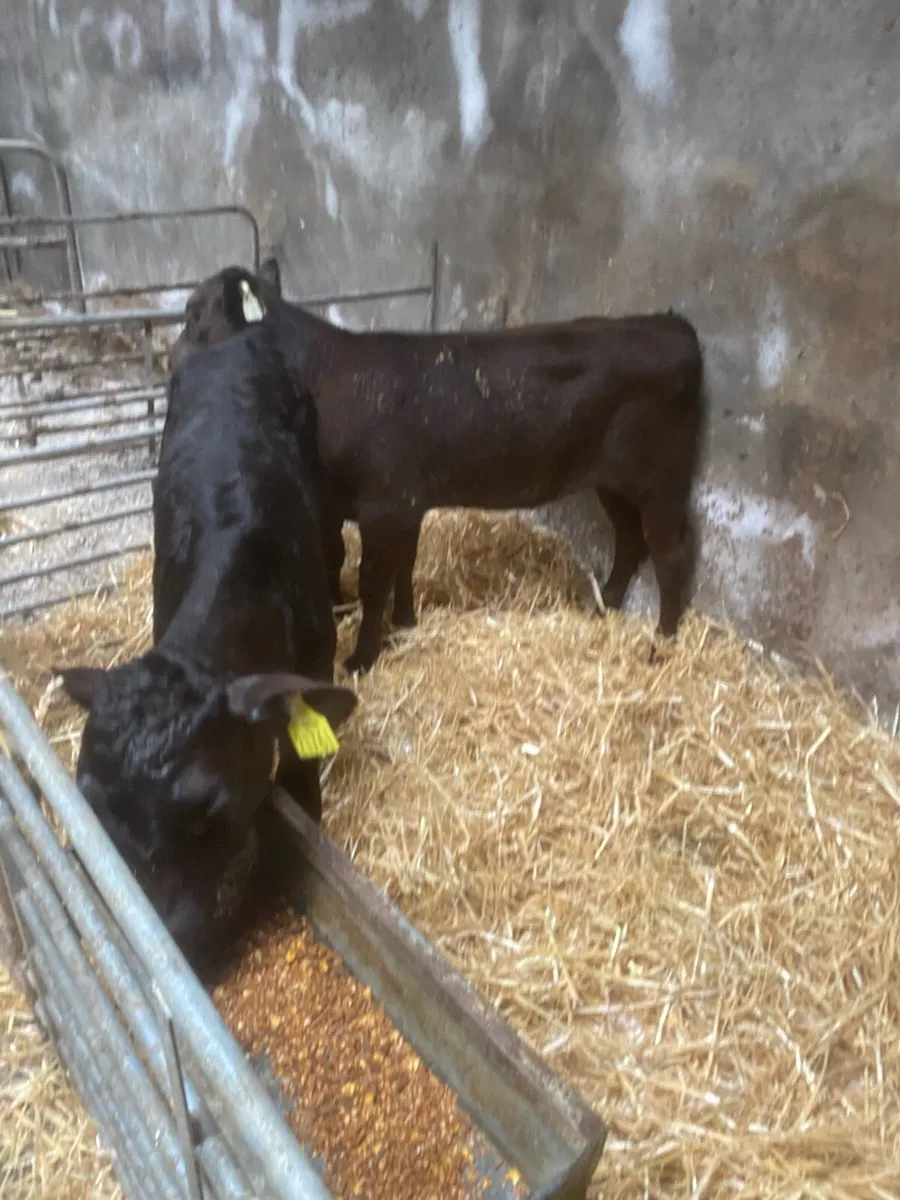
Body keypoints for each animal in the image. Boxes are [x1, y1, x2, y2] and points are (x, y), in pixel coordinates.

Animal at [171, 261, 707, 675]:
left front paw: (362, 658)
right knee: (630, 540)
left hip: (661, 481)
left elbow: (373, 582)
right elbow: (398, 567)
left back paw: (663, 642)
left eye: (195, 315)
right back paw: (605, 604)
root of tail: (673, 326)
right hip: (613, 481)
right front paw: (405, 622)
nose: (173, 360)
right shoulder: (399, 504)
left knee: (670, 554)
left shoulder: (383, 505)